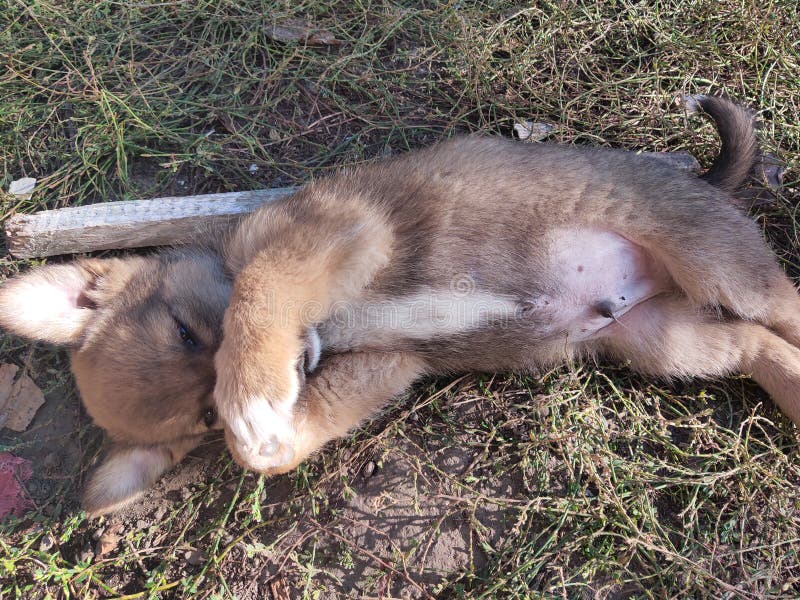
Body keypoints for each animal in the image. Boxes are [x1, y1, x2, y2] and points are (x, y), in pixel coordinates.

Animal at [0, 95, 792, 516]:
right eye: (199, 417)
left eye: (192, 332)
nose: (297, 363)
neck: (330, 325)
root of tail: (706, 184)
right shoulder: (385, 364)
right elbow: (283, 444)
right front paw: (264, 429)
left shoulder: (333, 232)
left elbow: (259, 289)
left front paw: (253, 390)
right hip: (664, 342)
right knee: (760, 346)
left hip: (720, 269)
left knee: (786, 310)